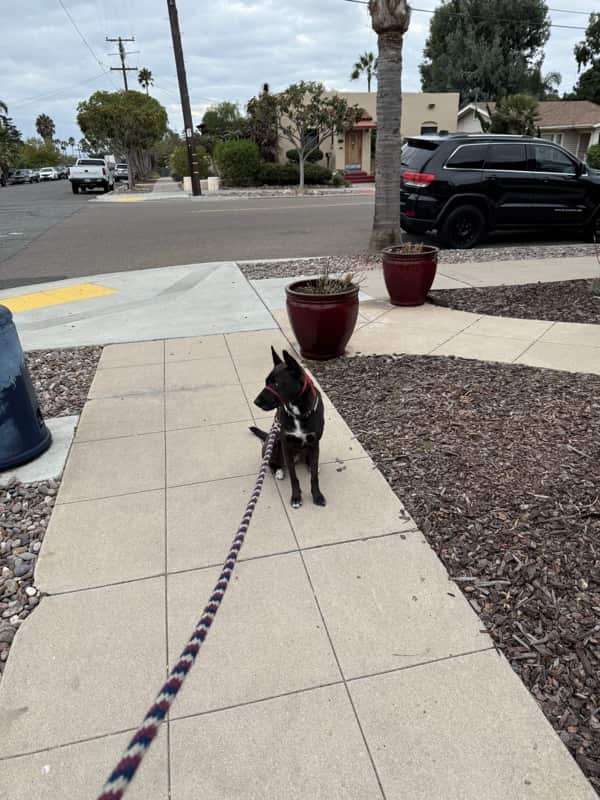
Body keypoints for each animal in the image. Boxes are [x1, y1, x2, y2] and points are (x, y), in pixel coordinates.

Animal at [248, 346, 326, 510]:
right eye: (266, 382)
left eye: (276, 383)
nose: (256, 401)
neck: (298, 412)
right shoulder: (286, 445)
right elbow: (293, 477)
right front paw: (296, 497)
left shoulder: (315, 442)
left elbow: (314, 477)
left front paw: (317, 495)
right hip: (272, 444)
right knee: (270, 462)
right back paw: (278, 470)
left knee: (310, 460)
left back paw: (309, 464)